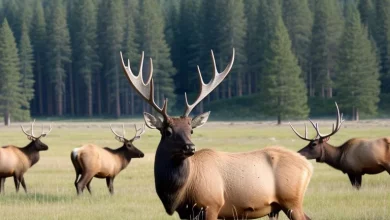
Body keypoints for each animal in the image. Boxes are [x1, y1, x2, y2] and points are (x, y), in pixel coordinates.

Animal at [120, 49, 312, 219]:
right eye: (168, 131)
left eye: (191, 130)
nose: (190, 147)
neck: (179, 194)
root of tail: (308, 166)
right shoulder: (186, 214)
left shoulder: (211, 205)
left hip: (291, 200)